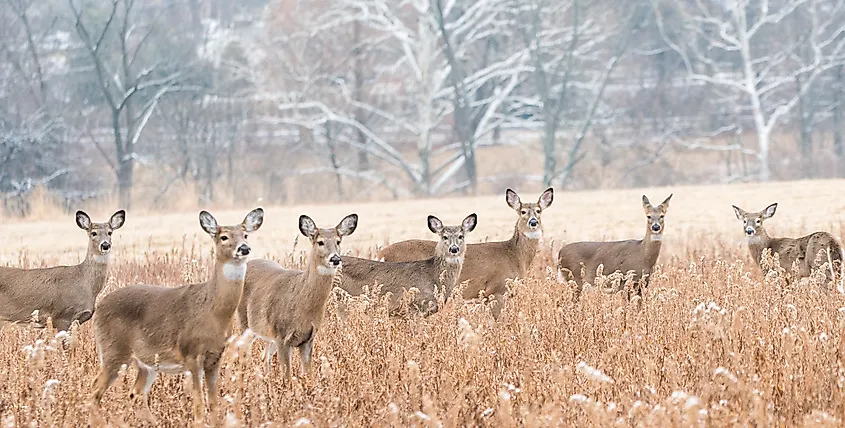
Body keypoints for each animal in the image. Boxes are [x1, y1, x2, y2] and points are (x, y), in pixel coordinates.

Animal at [89, 208, 264, 426]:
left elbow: (214, 404)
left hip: (146, 362)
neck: (213, 311)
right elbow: (199, 405)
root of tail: (99, 307)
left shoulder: (215, 357)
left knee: (136, 394)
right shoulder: (191, 354)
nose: (244, 248)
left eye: (246, 234)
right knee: (94, 391)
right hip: (114, 350)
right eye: (224, 237)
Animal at [237, 213, 358, 383]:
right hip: (245, 322)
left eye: (338, 241)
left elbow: (309, 375)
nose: (335, 259)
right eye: (320, 242)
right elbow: (287, 377)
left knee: (264, 356)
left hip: (266, 332)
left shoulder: (308, 339)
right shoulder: (281, 336)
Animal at [378, 188, 553, 320]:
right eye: (522, 211)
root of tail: (381, 253)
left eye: (539, 211)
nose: (533, 222)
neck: (515, 256)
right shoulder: (496, 290)